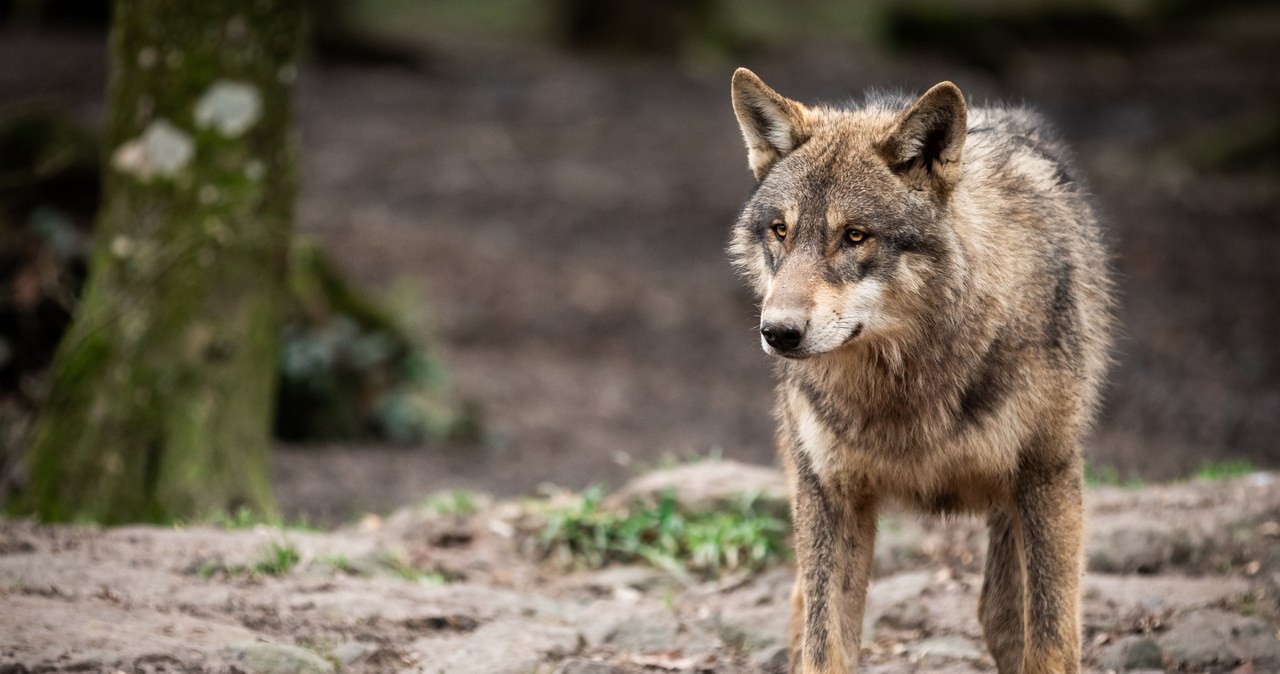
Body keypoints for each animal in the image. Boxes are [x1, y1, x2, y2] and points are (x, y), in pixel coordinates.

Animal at [727, 70, 1116, 674]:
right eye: (780, 231)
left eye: (855, 235)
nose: (779, 332)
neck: (904, 385)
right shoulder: (830, 494)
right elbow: (824, 645)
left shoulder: (1049, 477)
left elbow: (1051, 642)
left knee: (1002, 616)